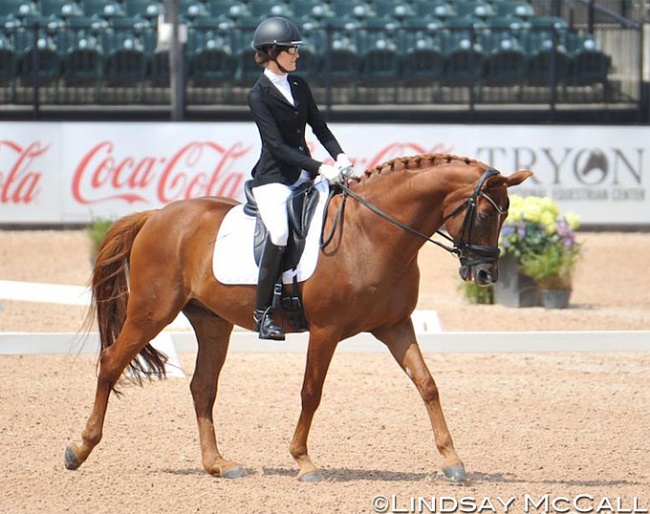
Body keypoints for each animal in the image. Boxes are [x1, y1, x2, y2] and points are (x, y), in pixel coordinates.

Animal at [64, 151, 532, 480]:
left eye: (507, 214)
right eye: (485, 212)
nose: (485, 274)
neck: (373, 235)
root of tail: (155, 216)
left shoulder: (394, 326)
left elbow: (428, 385)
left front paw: (453, 461)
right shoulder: (326, 330)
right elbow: (312, 392)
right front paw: (303, 462)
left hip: (212, 322)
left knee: (202, 387)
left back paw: (219, 464)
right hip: (152, 311)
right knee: (111, 362)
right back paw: (79, 449)